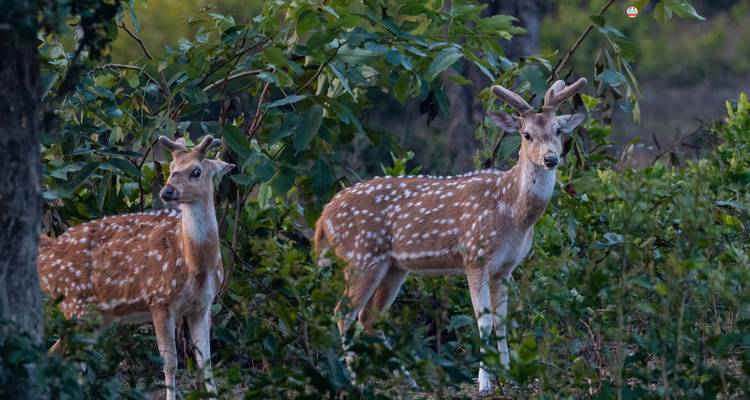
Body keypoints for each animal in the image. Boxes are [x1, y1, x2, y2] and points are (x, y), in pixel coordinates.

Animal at [37, 135, 234, 400]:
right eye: (171, 168)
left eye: (196, 171)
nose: (167, 191)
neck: (196, 266)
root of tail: (45, 256)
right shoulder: (159, 299)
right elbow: (170, 363)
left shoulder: (202, 306)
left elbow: (205, 362)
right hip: (74, 303)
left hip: (98, 315)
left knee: (60, 354)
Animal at [314, 78, 587, 393]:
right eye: (526, 134)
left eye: (558, 130)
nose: (551, 158)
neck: (511, 213)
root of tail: (323, 216)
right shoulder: (475, 256)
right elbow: (484, 322)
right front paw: (484, 383)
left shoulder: (506, 267)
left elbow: (502, 321)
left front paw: (508, 374)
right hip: (360, 256)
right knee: (342, 312)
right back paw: (355, 380)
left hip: (393, 267)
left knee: (368, 316)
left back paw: (409, 380)